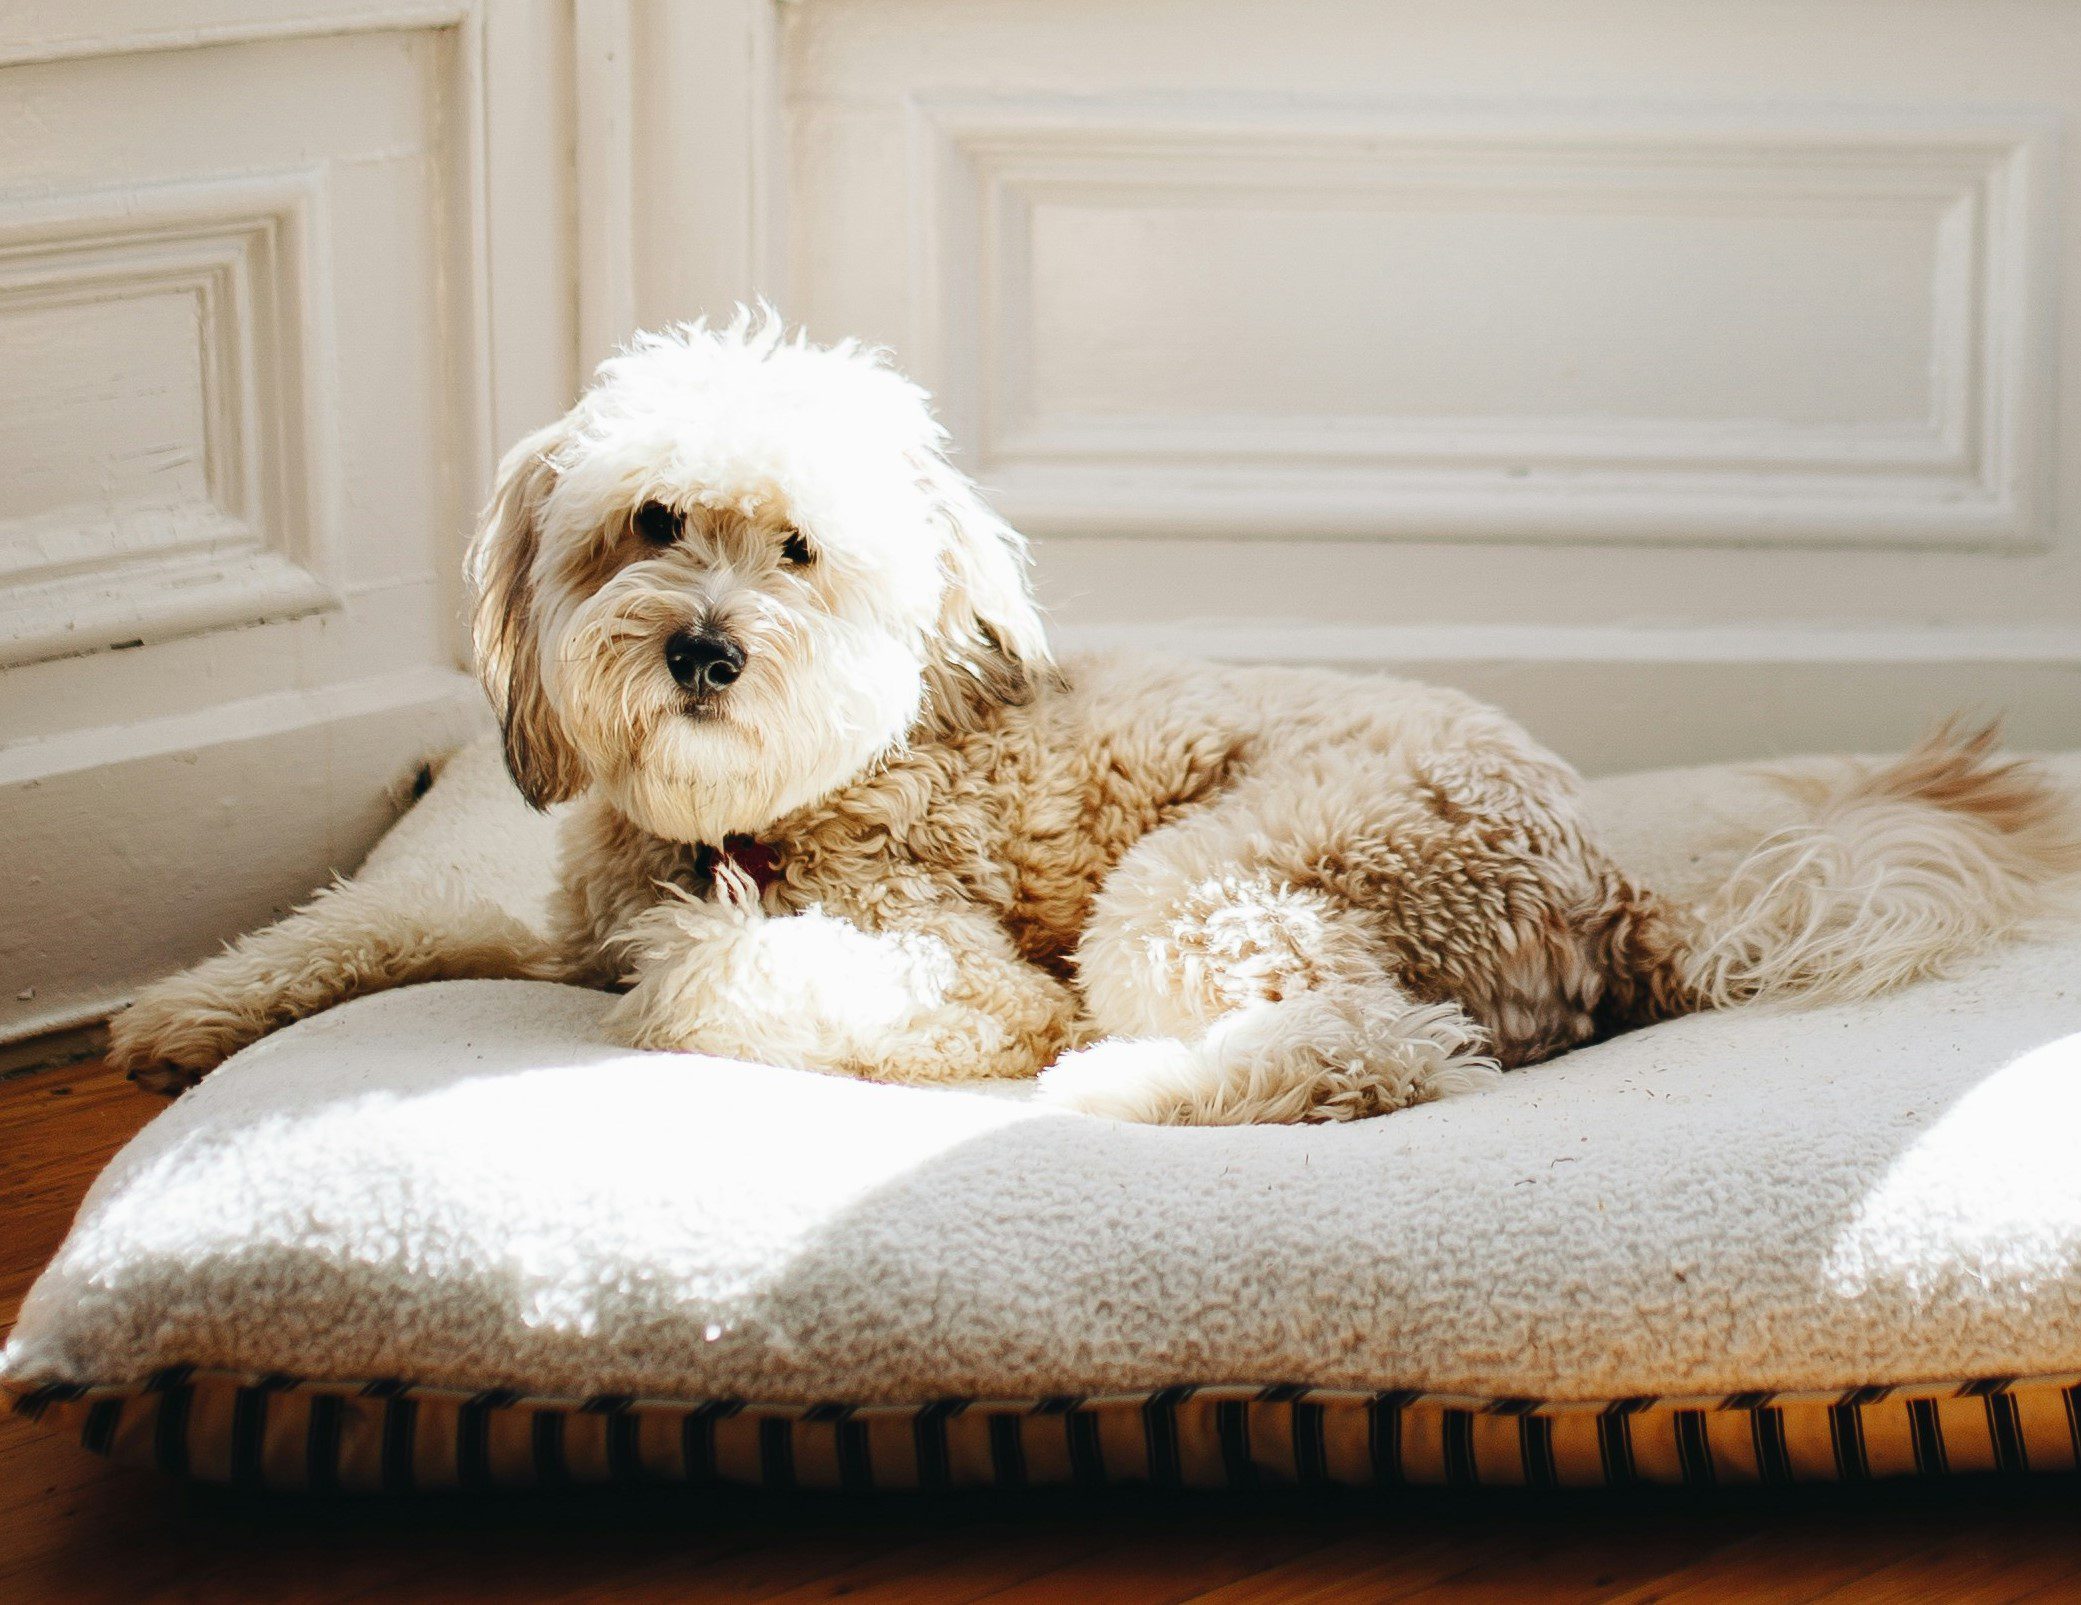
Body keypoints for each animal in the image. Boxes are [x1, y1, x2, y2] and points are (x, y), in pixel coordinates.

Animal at [105, 308, 2081, 1124]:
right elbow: (384, 918)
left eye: (800, 550)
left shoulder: (950, 969)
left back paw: (1123, 1086)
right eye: (651, 521)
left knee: (1379, 1054)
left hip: (1209, 883)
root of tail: (1613, 890)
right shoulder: (541, 918)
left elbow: (715, 979)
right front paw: (189, 1008)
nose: (706, 650)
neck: (746, 812)